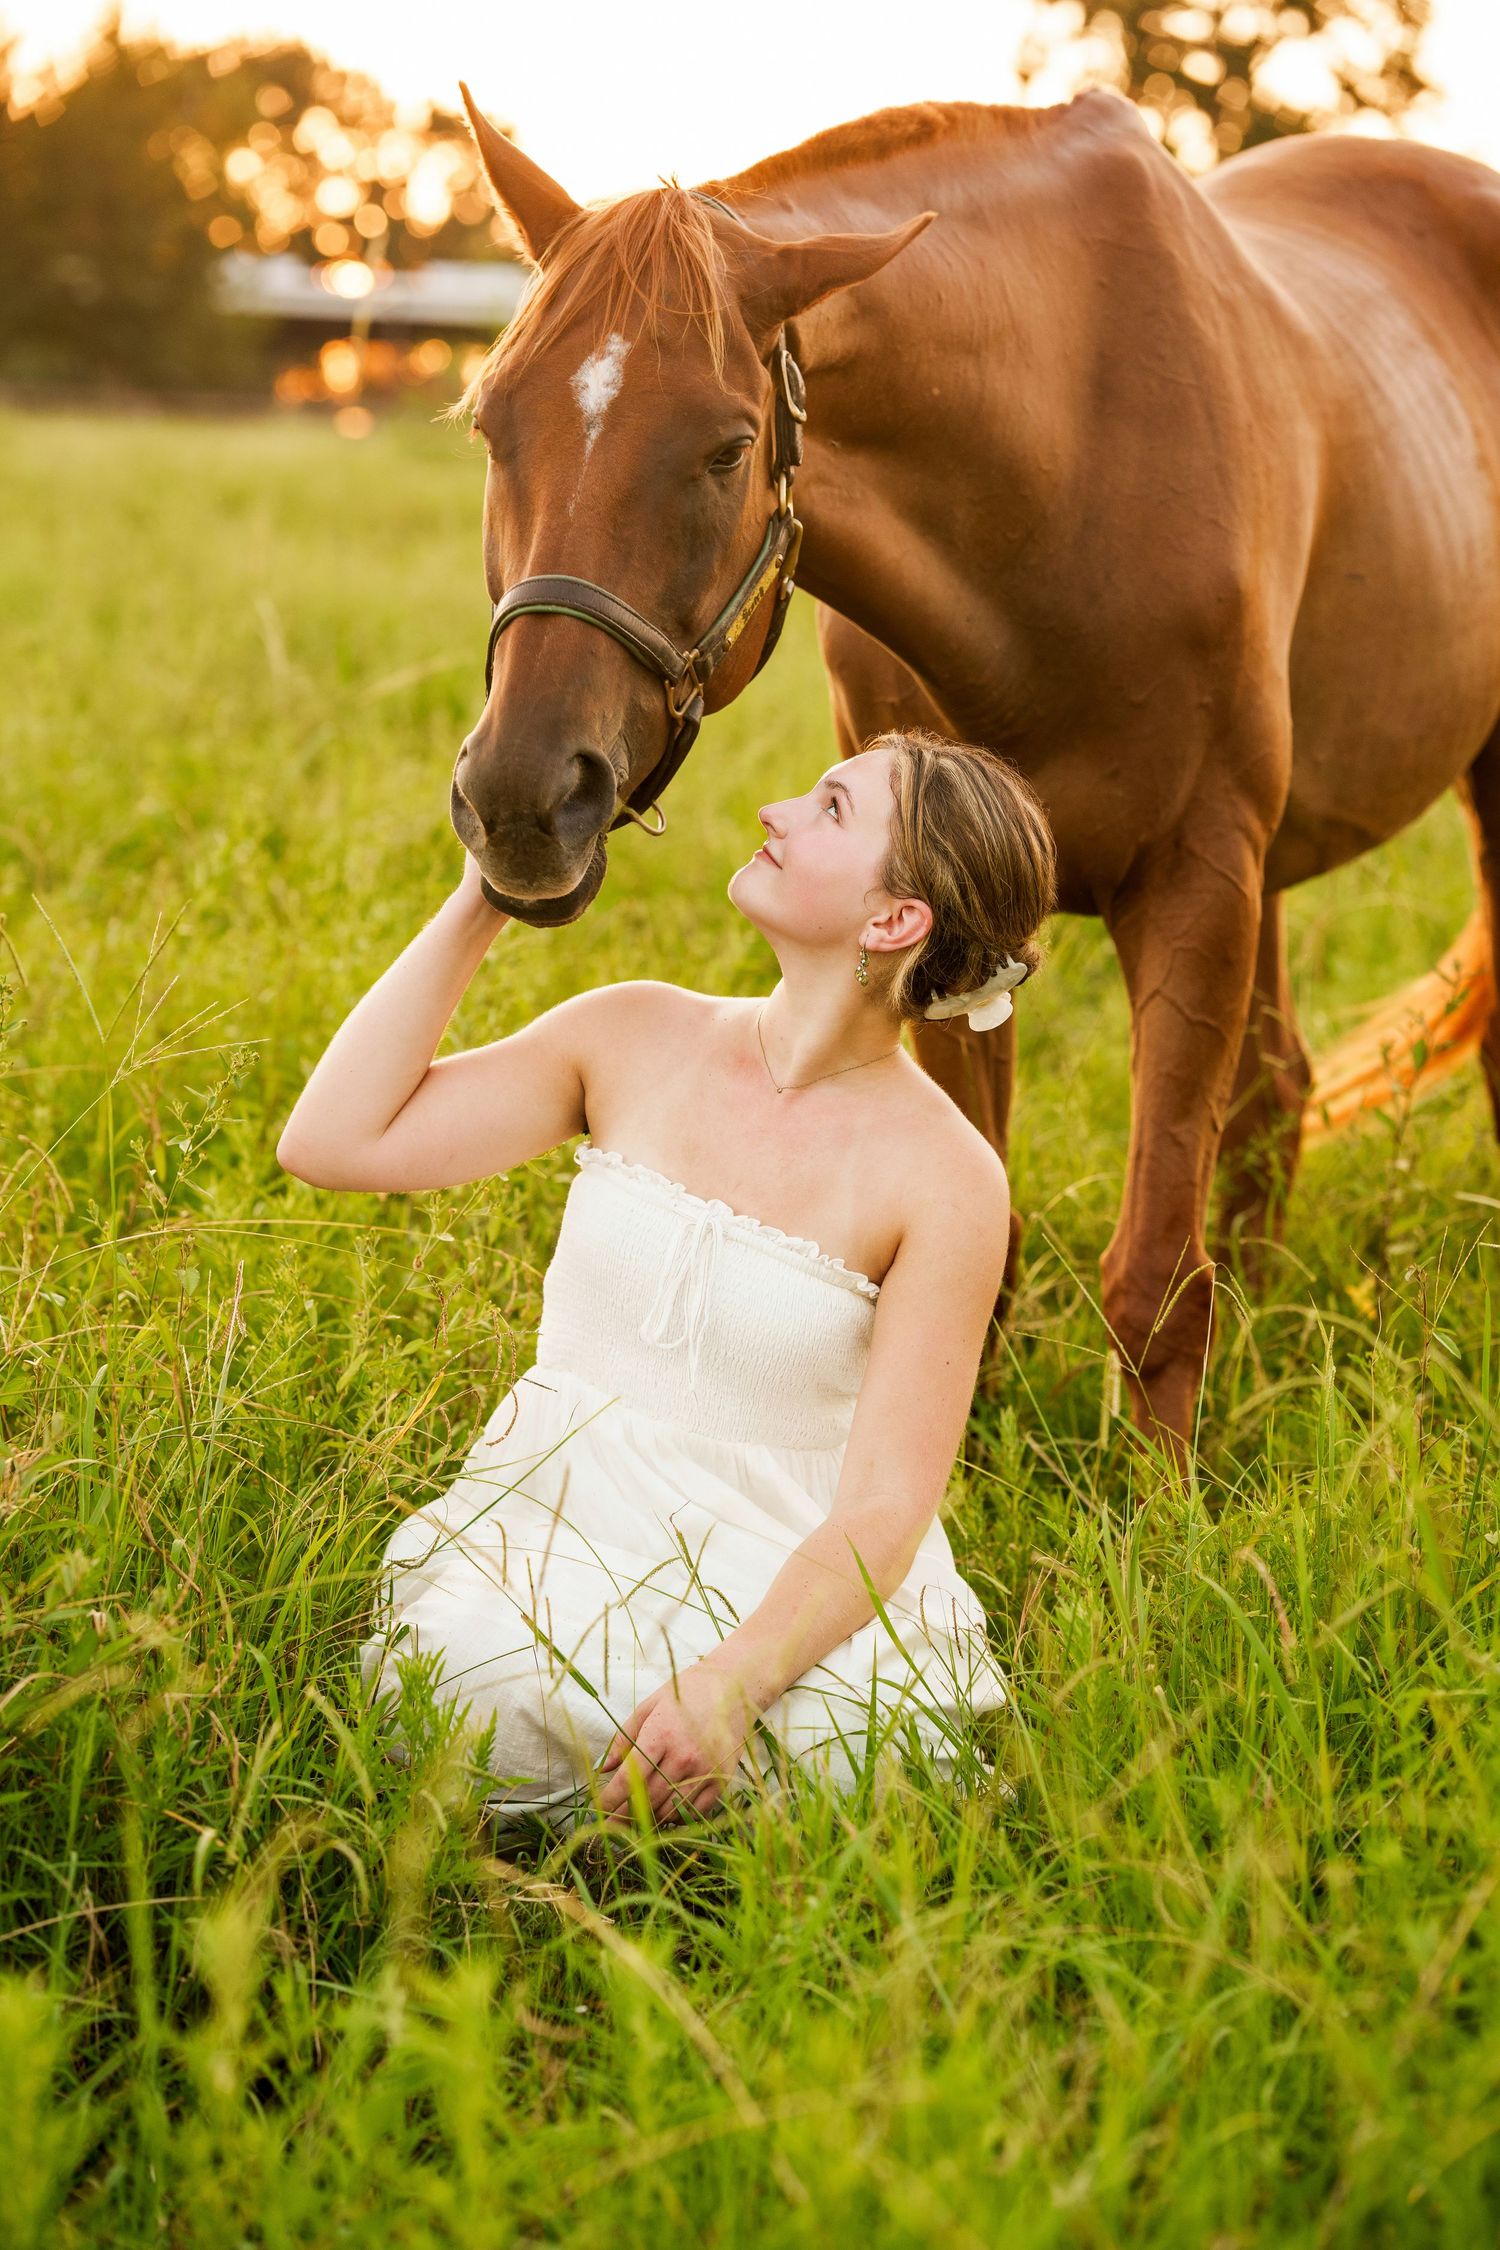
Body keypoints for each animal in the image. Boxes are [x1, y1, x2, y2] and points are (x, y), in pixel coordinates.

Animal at [449, 82, 1498, 1453]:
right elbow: (978, 1244)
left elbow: (1154, 1276)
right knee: (1275, 1100)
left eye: (727, 450)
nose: (523, 799)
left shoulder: (1196, 878)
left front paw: (1158, 1499)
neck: (1064, 474)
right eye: (491, 422)